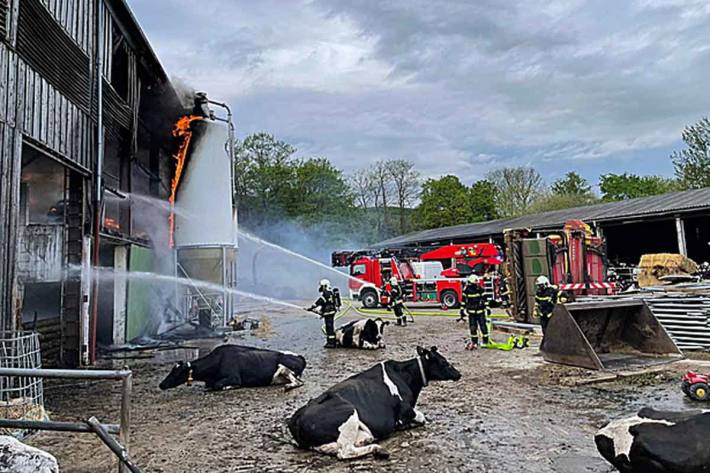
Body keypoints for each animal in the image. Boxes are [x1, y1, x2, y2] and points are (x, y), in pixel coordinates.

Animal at [160, 342, 308, 390]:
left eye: (176, 372)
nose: (161, 384)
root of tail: (300, 357)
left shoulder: (234, 377)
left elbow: (218, 385)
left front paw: (231, 386)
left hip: (285, 368)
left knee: (299, 382)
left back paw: (288, 386)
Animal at [288, 344, 462, 460]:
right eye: (444, 362)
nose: (459, 374)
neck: (406, 377)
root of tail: (297, 417)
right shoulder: (405, 412)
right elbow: (421, 417)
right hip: (349, 412)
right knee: (344, 451)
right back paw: (377, 449)